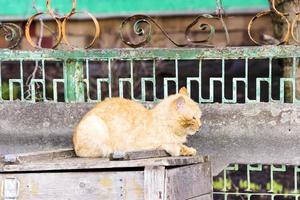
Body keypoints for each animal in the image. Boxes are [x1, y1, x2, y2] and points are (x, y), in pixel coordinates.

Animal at [73, 87, 202, 158]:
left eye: (200, 117)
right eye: (194, 118)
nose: (200, 126)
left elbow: (182, 145)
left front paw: (189, 150)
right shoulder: (143, 145)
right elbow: (170, 144)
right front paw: (180, 149)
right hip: (95, 125)